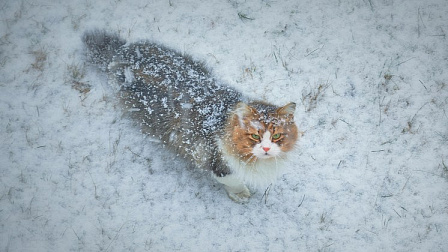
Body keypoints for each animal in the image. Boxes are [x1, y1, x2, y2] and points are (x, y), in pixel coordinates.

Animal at [82, 29, 300, 203]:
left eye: (277, 136)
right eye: (255, 135)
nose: (266, 148)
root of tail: (122, 50)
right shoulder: (213, 158)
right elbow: (231, 179)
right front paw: (240, 194)